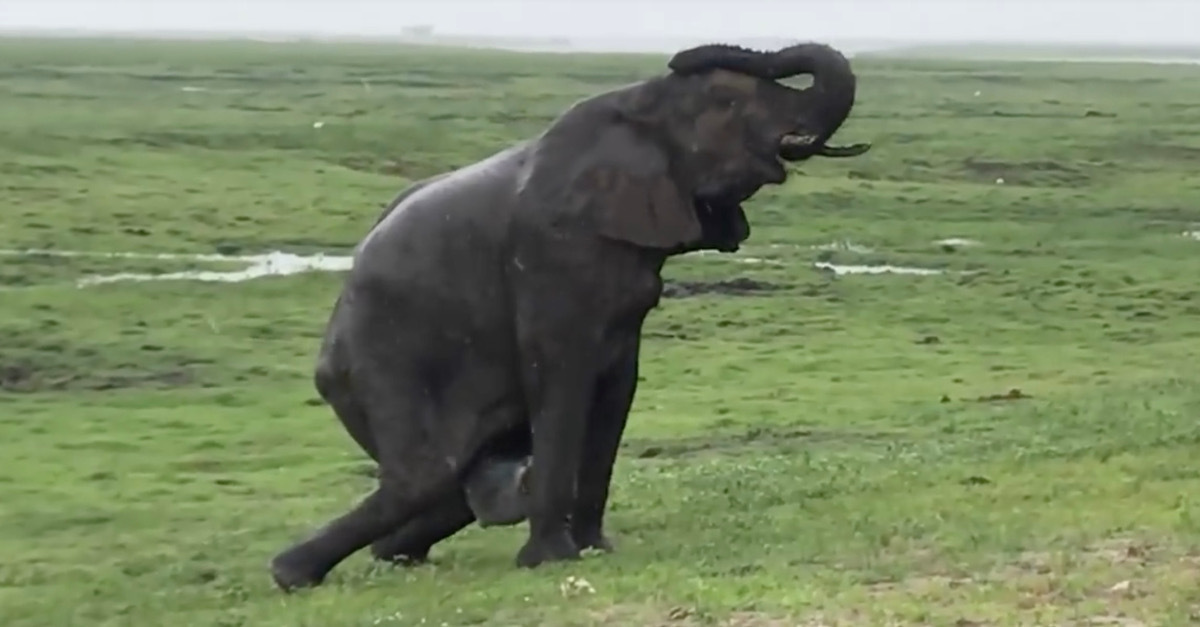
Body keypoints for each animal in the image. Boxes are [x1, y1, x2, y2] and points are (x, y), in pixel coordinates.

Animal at [270, 41, 873, 588]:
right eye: (726, 102)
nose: (680, 55)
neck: (636, 105)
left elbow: (615, 393)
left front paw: (596, 549)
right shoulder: (549, 256)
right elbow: (562, 382)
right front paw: (553, 561)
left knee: (457, 488)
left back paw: (393, 555)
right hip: (378, 358)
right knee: (426, 474)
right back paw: (291, 574)